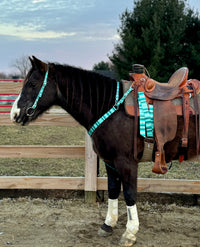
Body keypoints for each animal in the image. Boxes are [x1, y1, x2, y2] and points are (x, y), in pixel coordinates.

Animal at [10, 57, 198, 246]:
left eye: (33, 83)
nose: (14, 114)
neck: (112, 109)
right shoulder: (110, 162)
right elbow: (113, 190)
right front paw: (108, 224)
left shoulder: (127, 163)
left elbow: (129, 194)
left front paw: (130, 233)